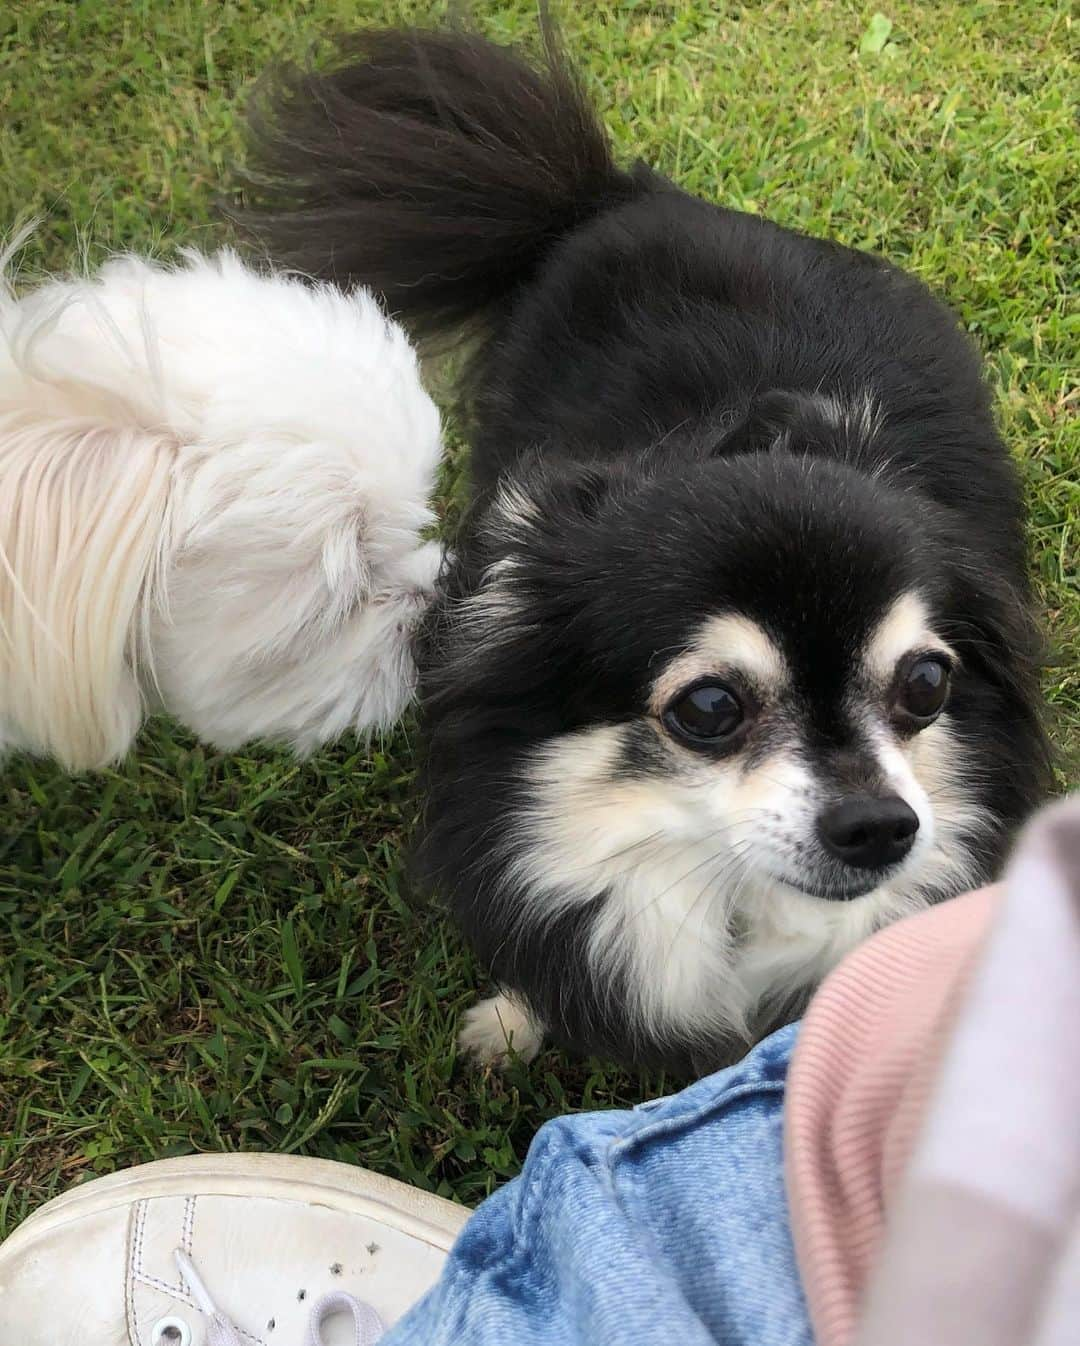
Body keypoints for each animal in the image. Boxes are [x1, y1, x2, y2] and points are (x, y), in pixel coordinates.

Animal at [246, 23, 1050, 1071]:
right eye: (707, 708)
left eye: (926, 685)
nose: (881, 824)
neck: (727, 898)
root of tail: (625, 193)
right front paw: (515, 1018)